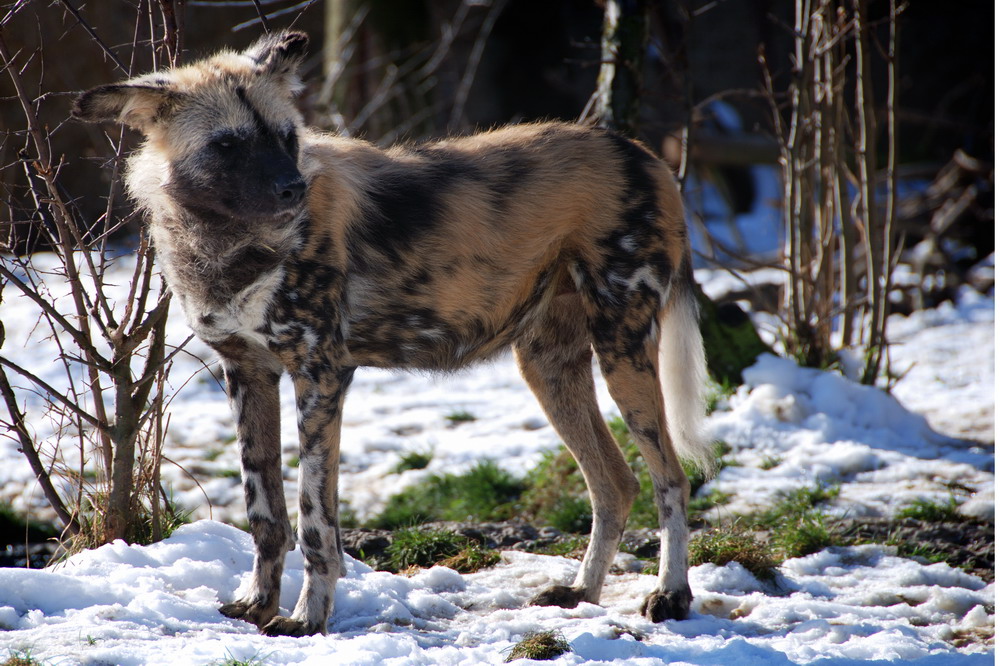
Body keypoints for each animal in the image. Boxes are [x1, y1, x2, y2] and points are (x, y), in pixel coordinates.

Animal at [76, 29, 712, 632]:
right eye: (227, 145)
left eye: (286, 137)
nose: (292, 188)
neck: (230, 246)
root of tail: (641, 152)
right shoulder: (247, 374)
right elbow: (265, 513)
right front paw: (257, 604)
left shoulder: (320, 377)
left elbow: (314, 523)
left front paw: (307, 620)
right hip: (549, 368)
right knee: (614, 485)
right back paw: (581, 592)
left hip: (622, 351)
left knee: (671, 480)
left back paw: (671, 595)